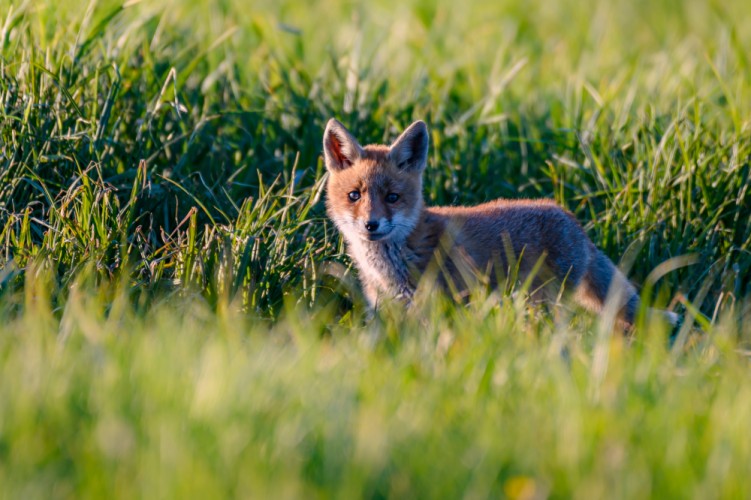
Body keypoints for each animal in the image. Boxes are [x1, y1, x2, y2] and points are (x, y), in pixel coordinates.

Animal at [324, 118, 676, 328]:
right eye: (354, 195)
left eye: (393, 197)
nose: (371, 225)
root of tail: (572, 220)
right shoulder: (387, 309)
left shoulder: (448, 304)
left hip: (542, 302)